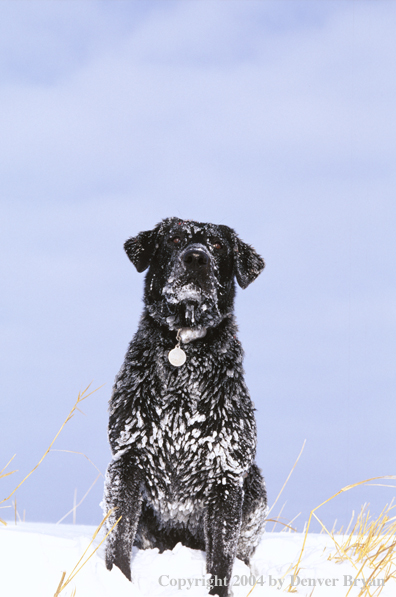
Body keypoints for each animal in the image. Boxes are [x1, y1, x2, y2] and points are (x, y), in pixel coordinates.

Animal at [103, 219, 268, 596]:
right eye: (175, 239)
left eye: (218, 246)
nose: (196, 258)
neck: (184, 349)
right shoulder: (127, 461)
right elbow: (119, 539)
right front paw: (117, 581)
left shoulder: (226, 474)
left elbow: (221, 559)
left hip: (254, 489)